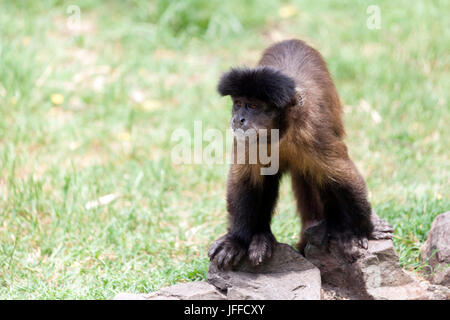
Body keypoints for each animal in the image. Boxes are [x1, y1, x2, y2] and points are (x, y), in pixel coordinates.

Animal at [209, 39, 392, 270]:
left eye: (252, 106)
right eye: (238, 104)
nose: (238, 119)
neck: (281, 132)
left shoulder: (314, 132)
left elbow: (345, 178)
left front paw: (367, 228)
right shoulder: (248, 140)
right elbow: (245, 180)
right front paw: (237, 239)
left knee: (324, 176)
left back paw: (340, 228)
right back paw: (261, 236)